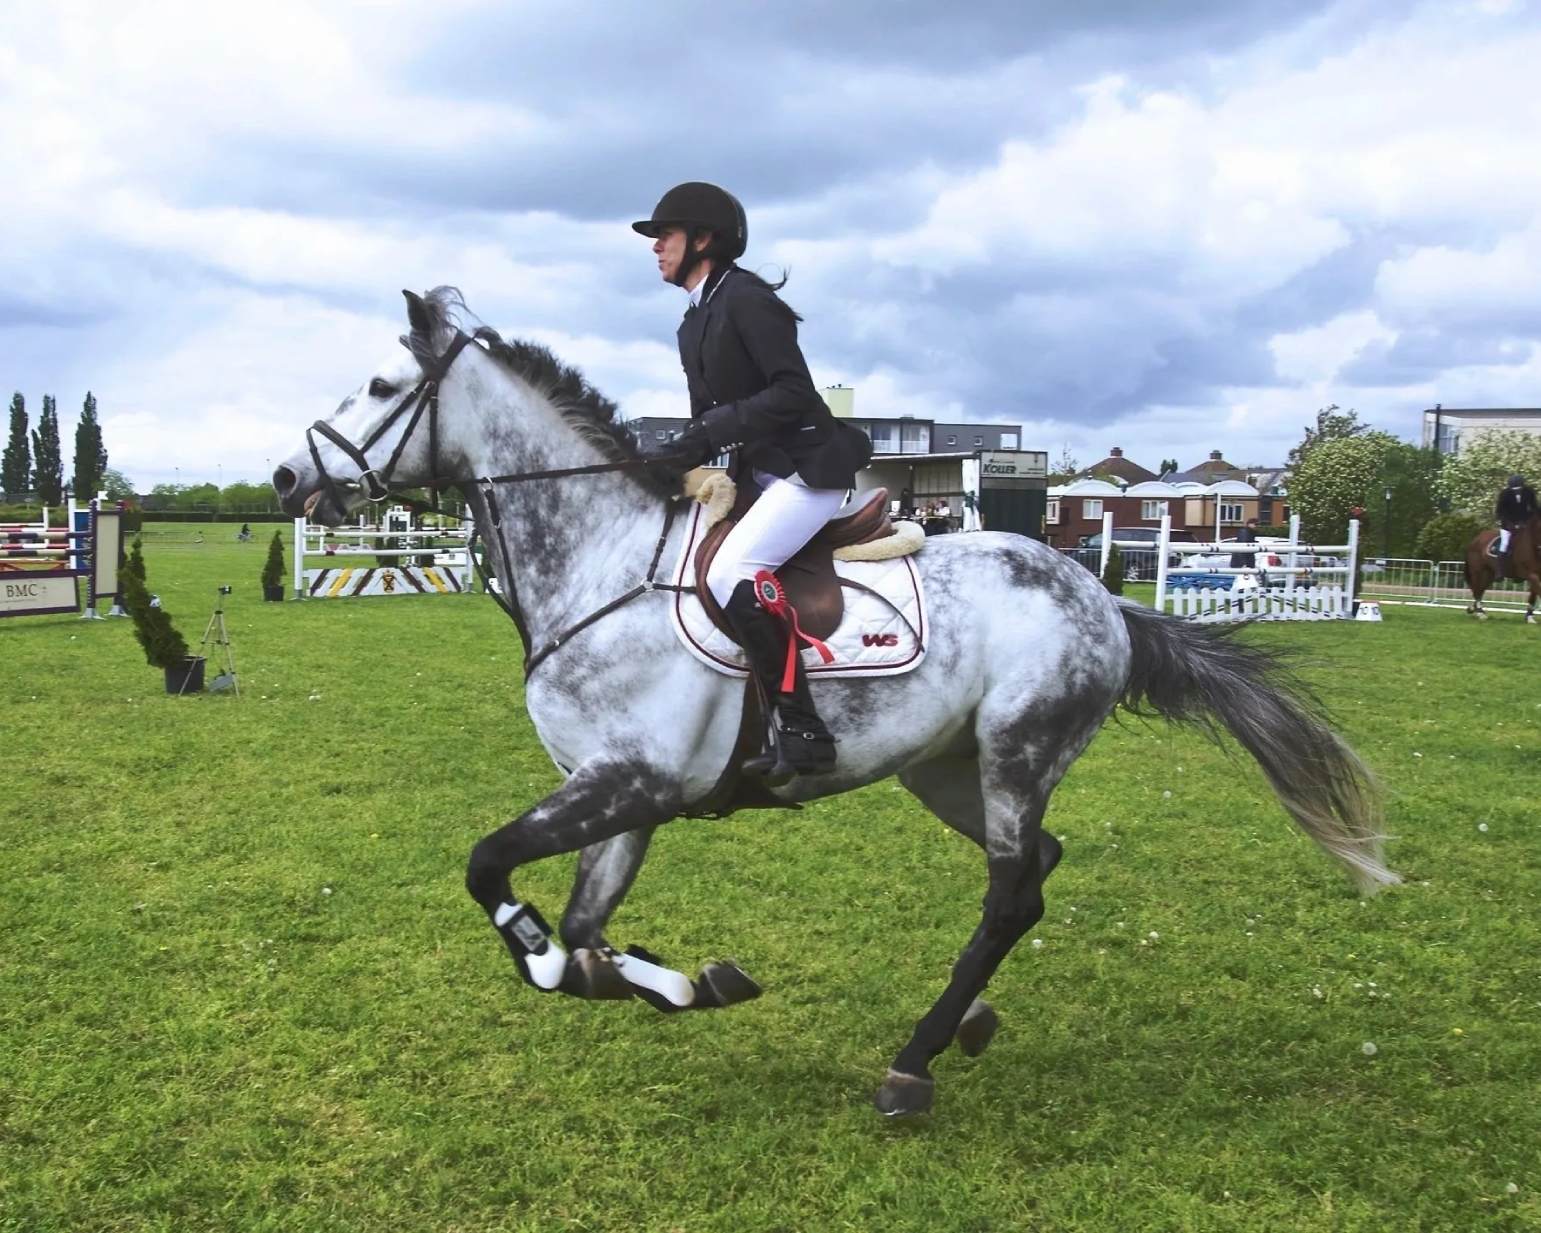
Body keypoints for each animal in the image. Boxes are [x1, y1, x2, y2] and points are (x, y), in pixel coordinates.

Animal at [271, 289, 1405, 1115]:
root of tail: (1103, 600)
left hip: (1016, 751)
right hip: (945, 769)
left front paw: (596, 960)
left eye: (379, 383)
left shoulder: (629, 781)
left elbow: (494, 875)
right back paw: (964, 1026)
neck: (599, 561)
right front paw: (685, 981)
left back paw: (912, 1063)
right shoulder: (623, 795)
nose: (285, 479)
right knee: (1033, 871)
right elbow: (584, 942)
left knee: (1007, 893)